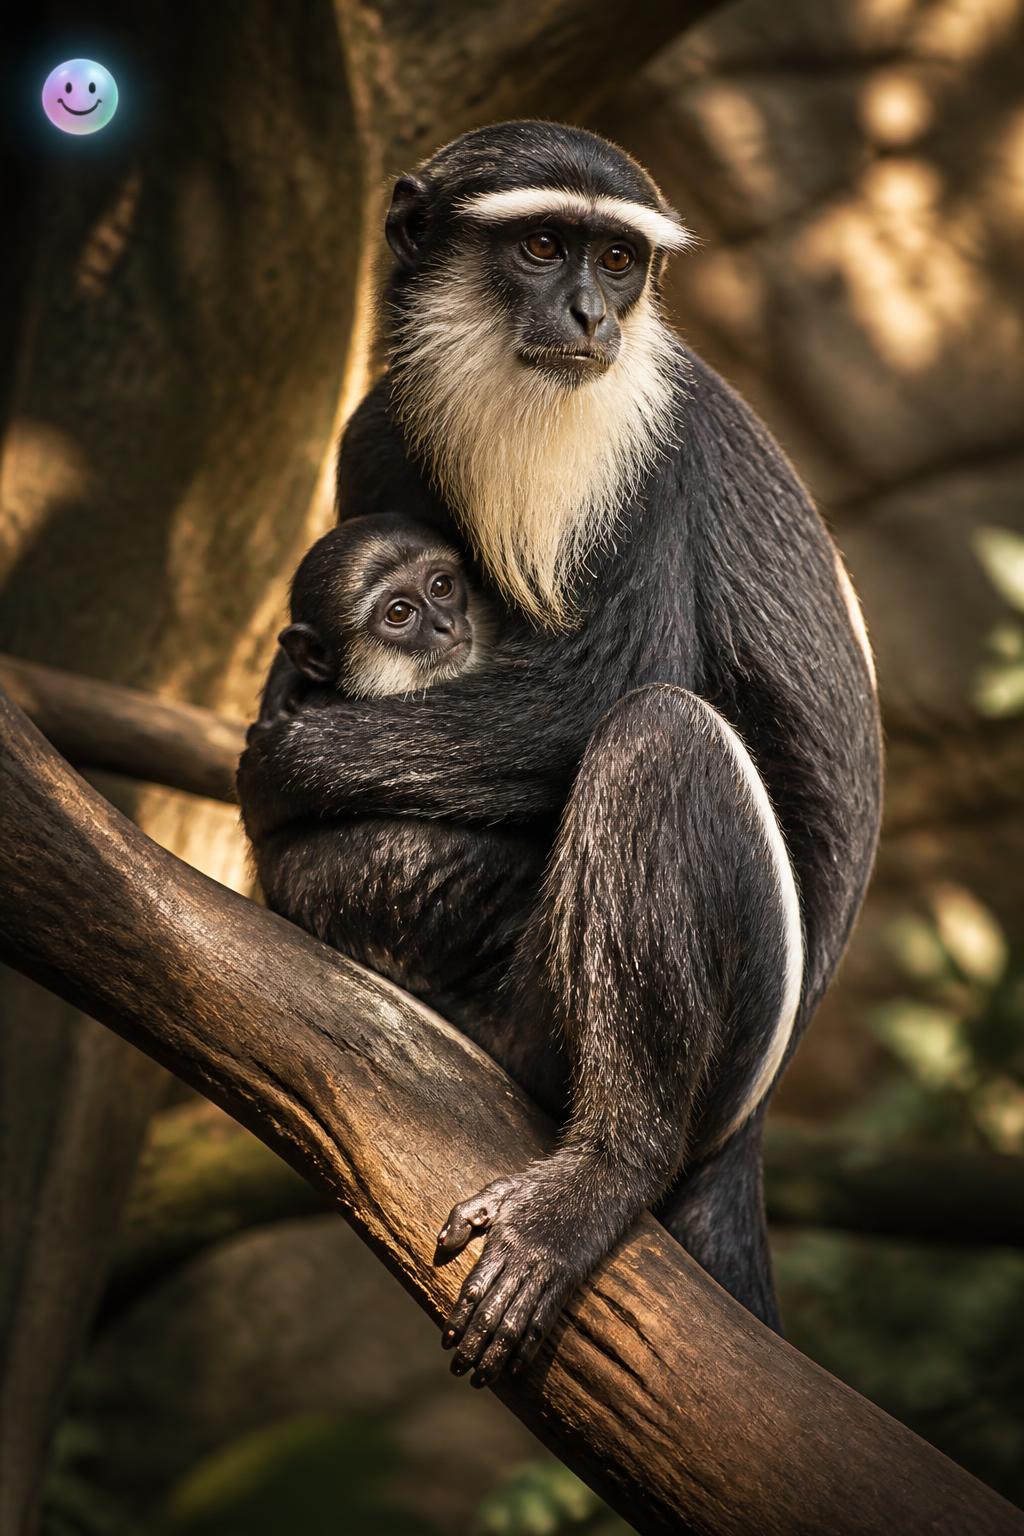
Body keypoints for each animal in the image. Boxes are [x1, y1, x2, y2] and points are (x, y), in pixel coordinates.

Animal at [237, 120, 883, 1389]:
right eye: (540, 246)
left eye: (617, 261)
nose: (590, 317)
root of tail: (747, 1132)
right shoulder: (377, 430)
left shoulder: (643, 451)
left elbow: (604, 687)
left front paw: (276, 759)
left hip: (629, 1027)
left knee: (660, 740)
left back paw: (598, 1179)